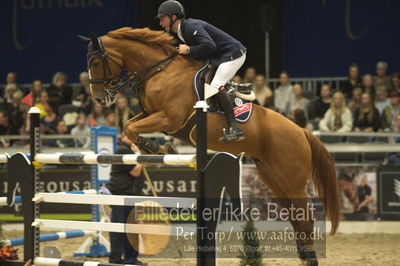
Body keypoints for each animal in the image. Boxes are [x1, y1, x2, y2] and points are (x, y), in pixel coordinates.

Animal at [83, 27, 340, 264]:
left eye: (95, 62)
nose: (99, 99)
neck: (161, 70)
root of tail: (302, 132)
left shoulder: (169, 118)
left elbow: (130, 128)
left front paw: (158, 149)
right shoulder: (151, 114)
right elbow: (129, 125)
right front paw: (156, 148)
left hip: (291, 178)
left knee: (305, 215)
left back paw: (311, 258)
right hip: (272, 176)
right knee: (294, 215)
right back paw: (304, 255)